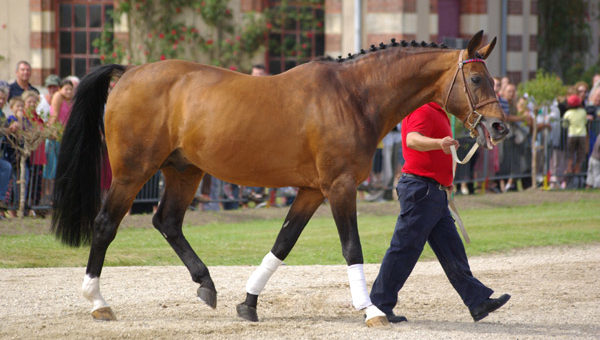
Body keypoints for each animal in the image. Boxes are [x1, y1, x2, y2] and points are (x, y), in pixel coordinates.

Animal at [52, 31, 506, 326]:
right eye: (477, 78)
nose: (500, 127)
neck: (354, 97)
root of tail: (128, 73)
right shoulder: (340, 186)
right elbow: (352, 248)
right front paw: (373, 310)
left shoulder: (311, 190)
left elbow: (283, 242)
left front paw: (249, 304)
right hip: (133, 172)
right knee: (105, 225)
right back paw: (97, 301)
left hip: (184, 171)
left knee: (167, 222)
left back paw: (206, 284)